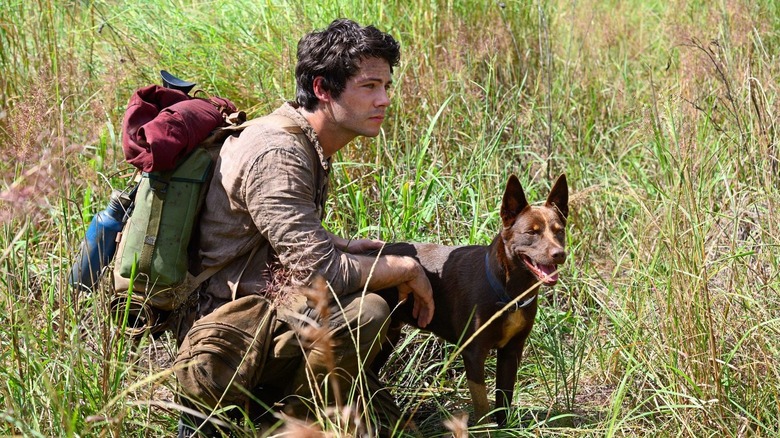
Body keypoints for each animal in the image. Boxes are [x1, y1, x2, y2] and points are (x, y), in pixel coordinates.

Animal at [372, 174, 568, 424]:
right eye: (532, 233)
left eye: (559, 231)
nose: (559, 254)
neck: (508, 292)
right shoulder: (474, 353)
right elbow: (482, 406)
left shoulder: (512, 350)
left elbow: (504, 398)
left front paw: (504, 428)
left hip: (388, 336)